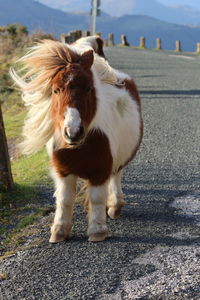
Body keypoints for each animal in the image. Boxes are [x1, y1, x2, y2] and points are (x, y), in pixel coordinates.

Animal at [10, 36, 142, 243]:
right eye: (56, 90)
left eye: (88, 88)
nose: (73, 132)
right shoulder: (63, 171)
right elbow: (64, 199)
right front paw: (59, 231)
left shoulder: (100, 170)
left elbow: (97, 197)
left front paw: (97, 230)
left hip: (119, 160)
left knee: (116, 176)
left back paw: (114, 206)